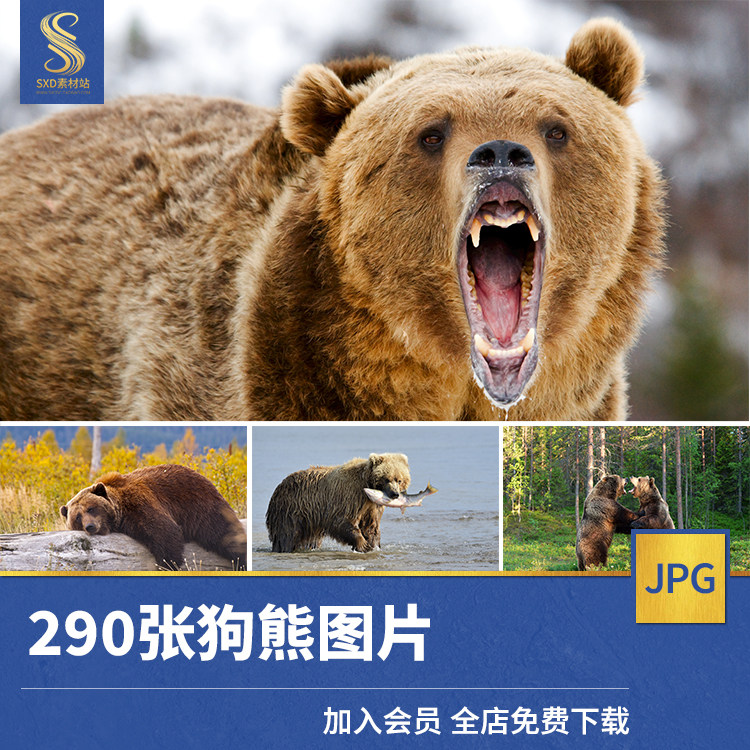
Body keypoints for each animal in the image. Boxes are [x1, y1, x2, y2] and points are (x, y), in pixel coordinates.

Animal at [60, 464, 247, 570]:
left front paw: (168, 564)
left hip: (202, 508)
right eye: (77, 517)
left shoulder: (140, 503)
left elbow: (165, 531)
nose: (90, 526)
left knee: (225, 534)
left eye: (91, 508)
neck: (121, 510)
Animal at [266, 453, 410, 552]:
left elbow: (371, 526)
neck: (367, 487)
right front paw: (362, 544)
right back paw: (285, 548)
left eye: (399, 480)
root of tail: (278, 487)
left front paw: (373, 545)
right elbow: (342, 520)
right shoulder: (350, 497)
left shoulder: (372, 506)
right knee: (288, 534)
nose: (395, 494)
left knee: (311, 538)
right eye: (387, 479)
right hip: (291, 509)